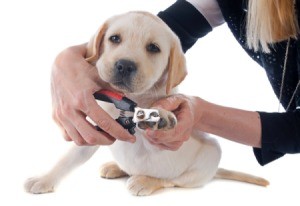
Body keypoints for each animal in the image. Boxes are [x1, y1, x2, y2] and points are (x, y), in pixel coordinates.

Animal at [25, 11, 270, 196]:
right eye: (114, 39)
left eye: (153, 48)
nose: (124, 65)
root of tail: (215, 171)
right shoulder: (94, 131)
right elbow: (68, 158)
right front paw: (44, 179)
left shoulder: (158, 143)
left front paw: (160, 115)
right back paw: (115, 167)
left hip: (209, 155)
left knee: (173, 180)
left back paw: (144, 181)